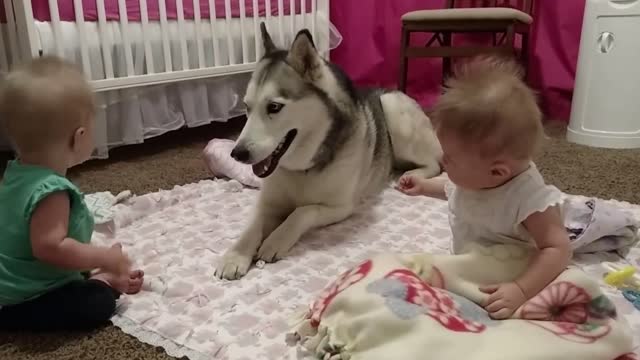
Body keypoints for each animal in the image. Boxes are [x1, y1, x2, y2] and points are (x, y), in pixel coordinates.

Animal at [214, 23, 440, 280]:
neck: (302, 169)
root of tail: (387, 90)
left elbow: (303, 211)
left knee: (436, 163)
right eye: (246, 107)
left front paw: (276, 239)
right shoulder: (269, 204)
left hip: (395, 113)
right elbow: (253, 226)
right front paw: (236, 254)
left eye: (274, 107)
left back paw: (412, 176)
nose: (237, 154)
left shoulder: (340, 208)